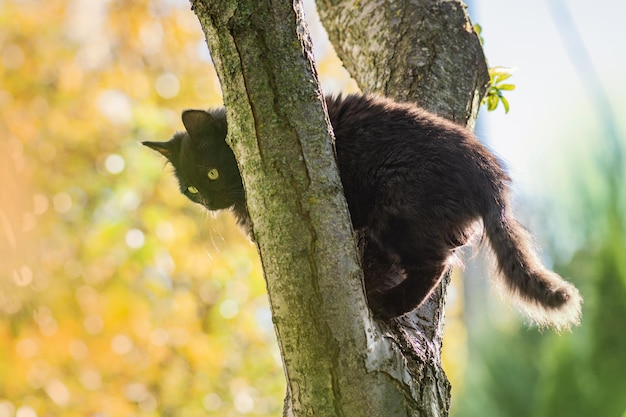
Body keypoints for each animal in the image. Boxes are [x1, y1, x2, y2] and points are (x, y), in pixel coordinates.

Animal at [144, 93, 584, 328]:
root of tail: (489, 172)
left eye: (212, 172)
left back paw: (390, 304)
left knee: (435, 264)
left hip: (398, 211)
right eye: (192, 189)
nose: (208, 201)